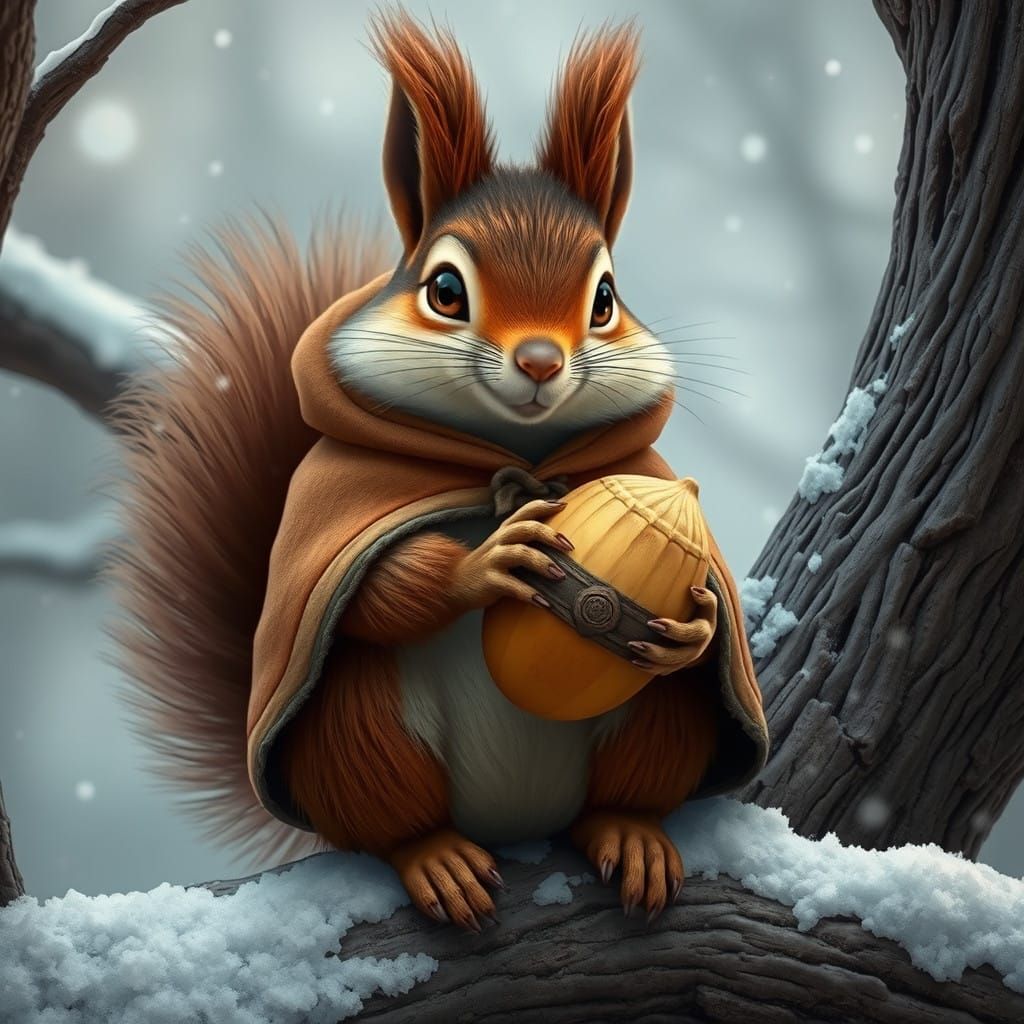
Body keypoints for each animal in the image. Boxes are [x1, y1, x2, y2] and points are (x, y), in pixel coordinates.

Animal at [111, 11, 768, 933]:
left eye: (606, 299)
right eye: (445, 290)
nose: (539, 361)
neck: (510, 458)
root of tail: (517, 824)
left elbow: (703, 632)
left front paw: (703, 624)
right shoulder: (335, 512)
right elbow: (375, 596)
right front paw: (483, 563)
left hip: (656, 725)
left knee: (644, 752)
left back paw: (630, 831)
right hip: (357, 732)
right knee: (380, 786)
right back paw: (435, 858)